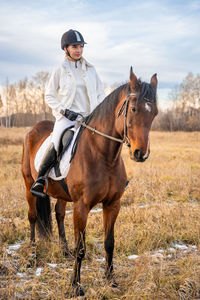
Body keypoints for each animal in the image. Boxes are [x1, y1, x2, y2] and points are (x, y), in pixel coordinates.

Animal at [21, 67, 158, 296]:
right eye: (134, 109)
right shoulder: (82, 206)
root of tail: (34, 128)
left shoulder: (112, 204)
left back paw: (64, 250)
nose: (141, 154)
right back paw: (32, 256)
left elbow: (109, 243)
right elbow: (81, 248)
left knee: (59, 214)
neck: (103, 156)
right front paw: (75, 286)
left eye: (154, 113)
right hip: (28, 184)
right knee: (32, 217)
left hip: (62, 194)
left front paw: (111, 280)